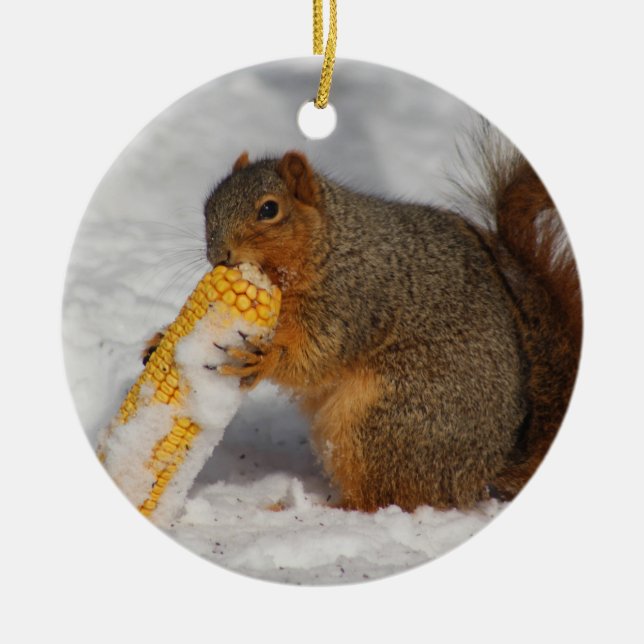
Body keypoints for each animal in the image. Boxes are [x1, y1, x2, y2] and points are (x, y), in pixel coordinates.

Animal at [175, 126, 581, 513]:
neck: (329, 243)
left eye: (269, 210)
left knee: (381, 498)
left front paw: (265, 360)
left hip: (384, 419)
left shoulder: (353, 301)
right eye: (209, 205)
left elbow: (317, 354)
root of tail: (485, 469)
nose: (219, 255)